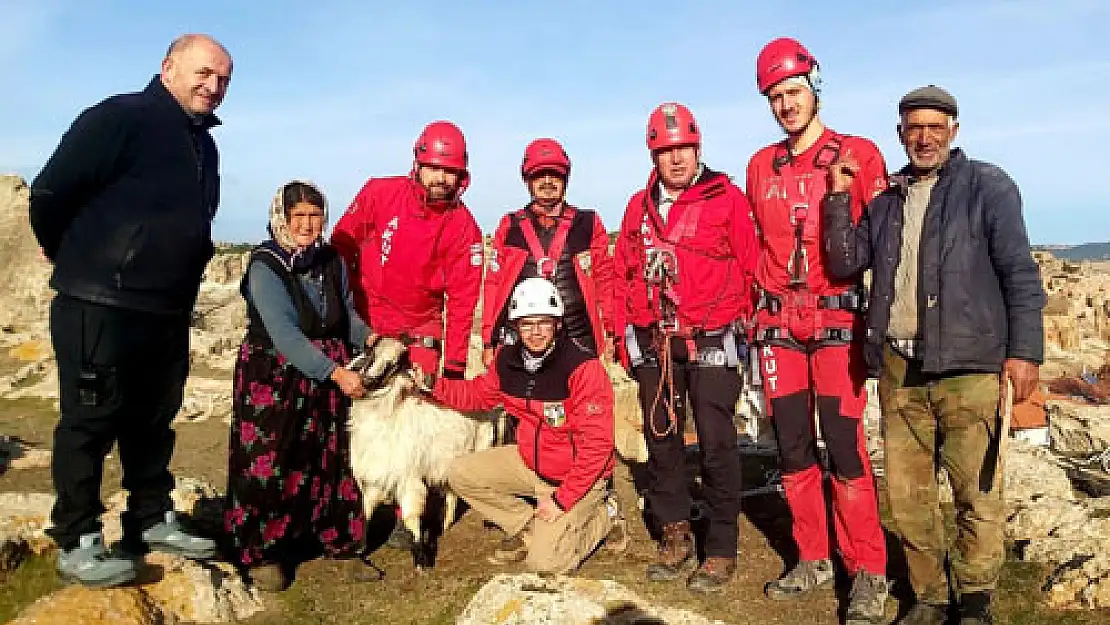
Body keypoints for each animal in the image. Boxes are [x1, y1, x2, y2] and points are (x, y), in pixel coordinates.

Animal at [341, 337, 490, 568]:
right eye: (371, 354)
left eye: (394, 365)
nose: (368, 380)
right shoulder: (374, 477)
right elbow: (365, 512)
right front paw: (357, 548)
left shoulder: (408, 478)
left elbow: (411, 517)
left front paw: (421, 557)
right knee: (451, 493)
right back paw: (446, 524)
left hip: (482, 444)